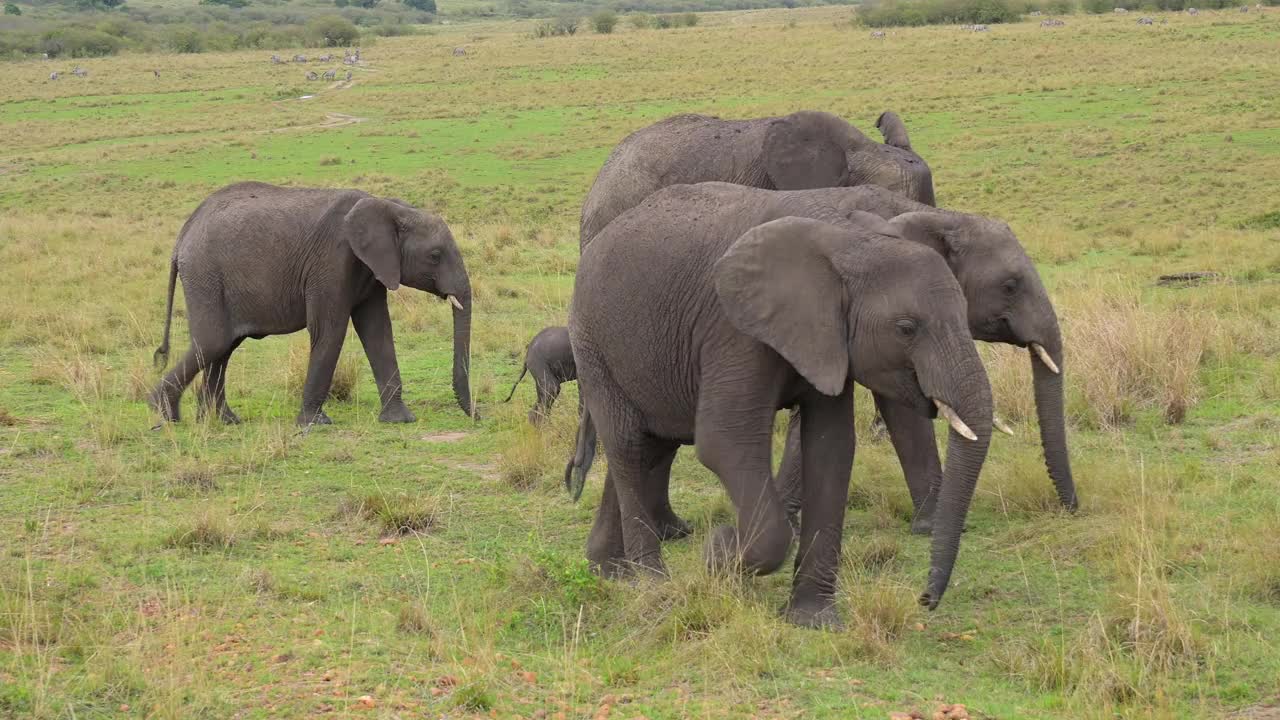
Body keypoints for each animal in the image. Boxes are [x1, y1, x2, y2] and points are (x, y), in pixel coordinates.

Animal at [146, 180, 476, 425]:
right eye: (435, 255)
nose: (477, 415)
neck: (388, 206)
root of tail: (181, 237)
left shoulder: (372, 268)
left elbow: (378, 330)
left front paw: (400, 420)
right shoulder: (331, 262)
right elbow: (329, 330)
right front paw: (315, 424)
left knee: (224, 346)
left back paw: (223, 421)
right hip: (206, 275)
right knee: (213, 342)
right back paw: (163, 412)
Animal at [573, 198, 998, 625]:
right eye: (907, 328)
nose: (925, 600)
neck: (847, 241)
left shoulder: (827, 339)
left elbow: (831, 447)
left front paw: (813, 620)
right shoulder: (733, 330)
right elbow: (725, 443)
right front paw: (719, 553)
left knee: (652, 447)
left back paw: (607, 570)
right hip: (592, 345)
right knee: (628, 446)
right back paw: (649, 581)